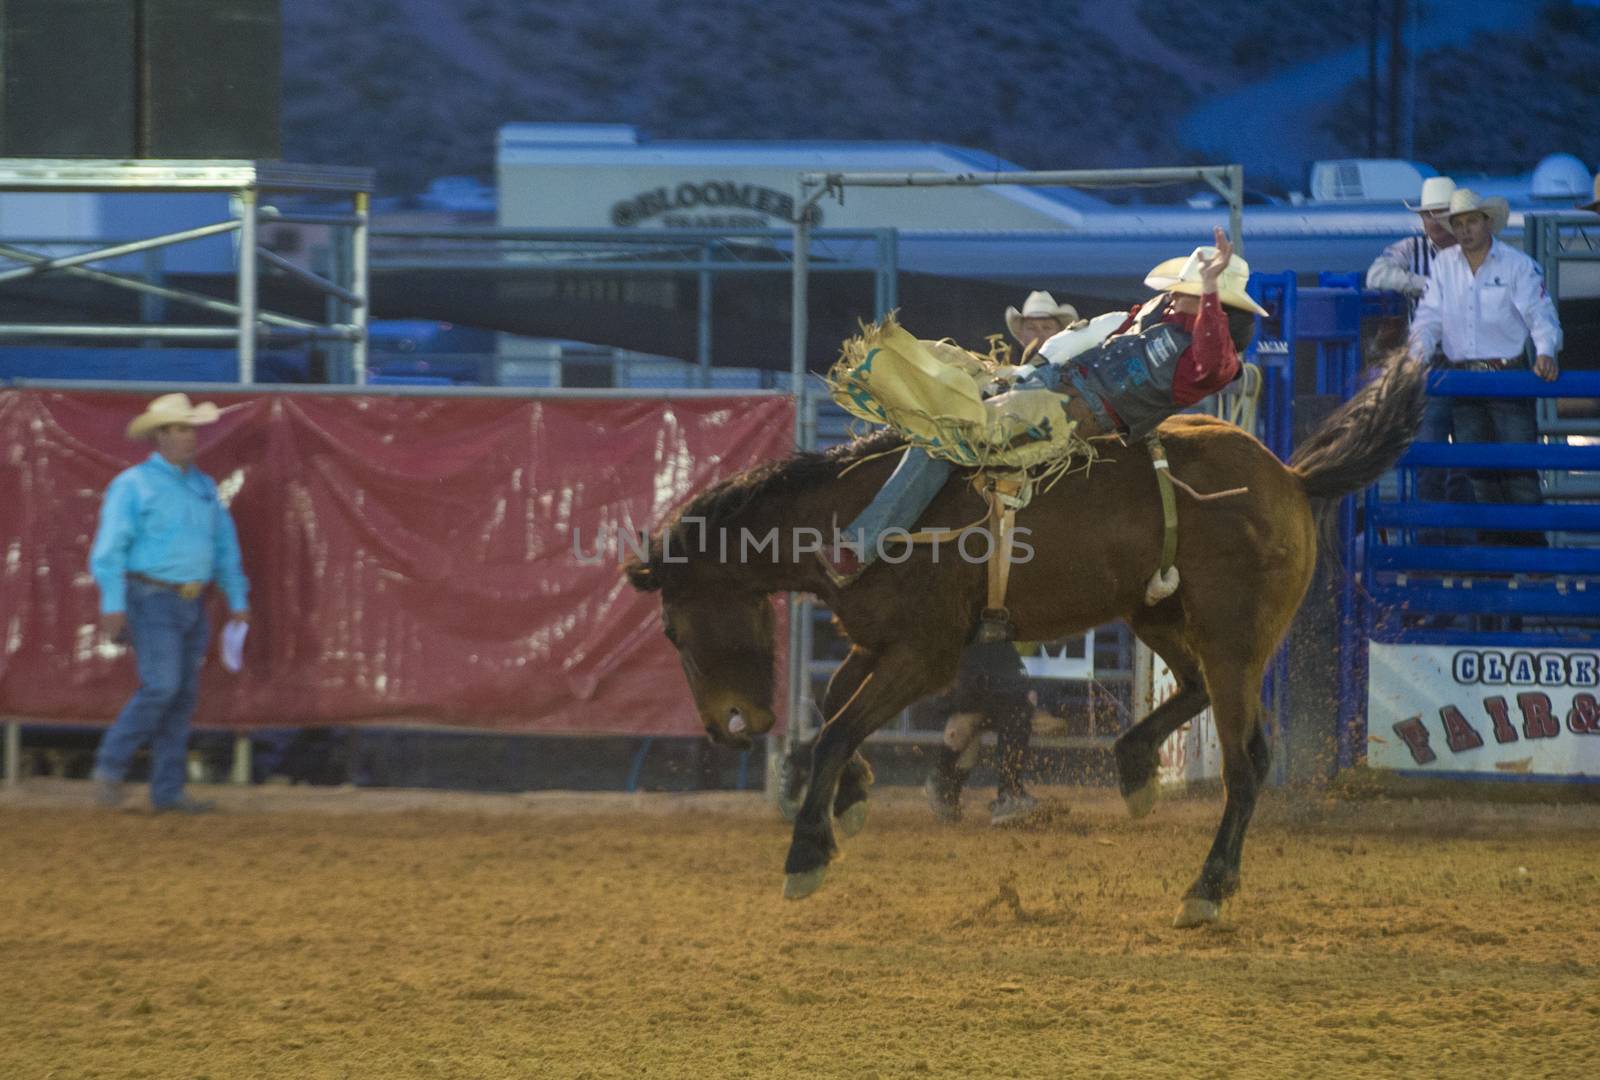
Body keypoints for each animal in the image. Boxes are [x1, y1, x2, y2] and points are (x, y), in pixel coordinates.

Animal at [624, 356, 1427, 928]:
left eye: (671, 628)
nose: (726, 726)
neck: (851, 514)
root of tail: (1288, 477)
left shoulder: (924, 655)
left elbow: (836, 730)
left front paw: (806, 854)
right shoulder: (877, 642)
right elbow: (833, 712)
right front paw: (849, 800)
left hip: (1235, 642)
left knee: (1245, 761)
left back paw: (1207, 887)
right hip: (1158, 615)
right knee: (1197, 695)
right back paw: (1136, 769)